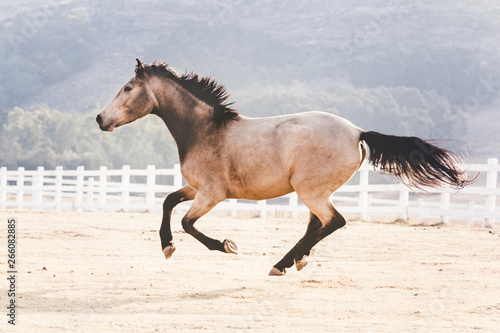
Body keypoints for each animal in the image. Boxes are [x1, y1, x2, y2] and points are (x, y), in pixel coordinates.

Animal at [95, 59, 474, 274]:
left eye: (127, 87)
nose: (100, 119)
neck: (205, 130)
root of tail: (357, 131)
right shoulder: (195, 188)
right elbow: (168, 202)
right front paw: (167, 247)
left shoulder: (212, 194)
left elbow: (188, 223)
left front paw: (226, 245)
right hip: (314, 192)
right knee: (318, 224)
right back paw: (296, 260)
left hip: (310, 190)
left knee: (333, 221)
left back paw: (282, 264)